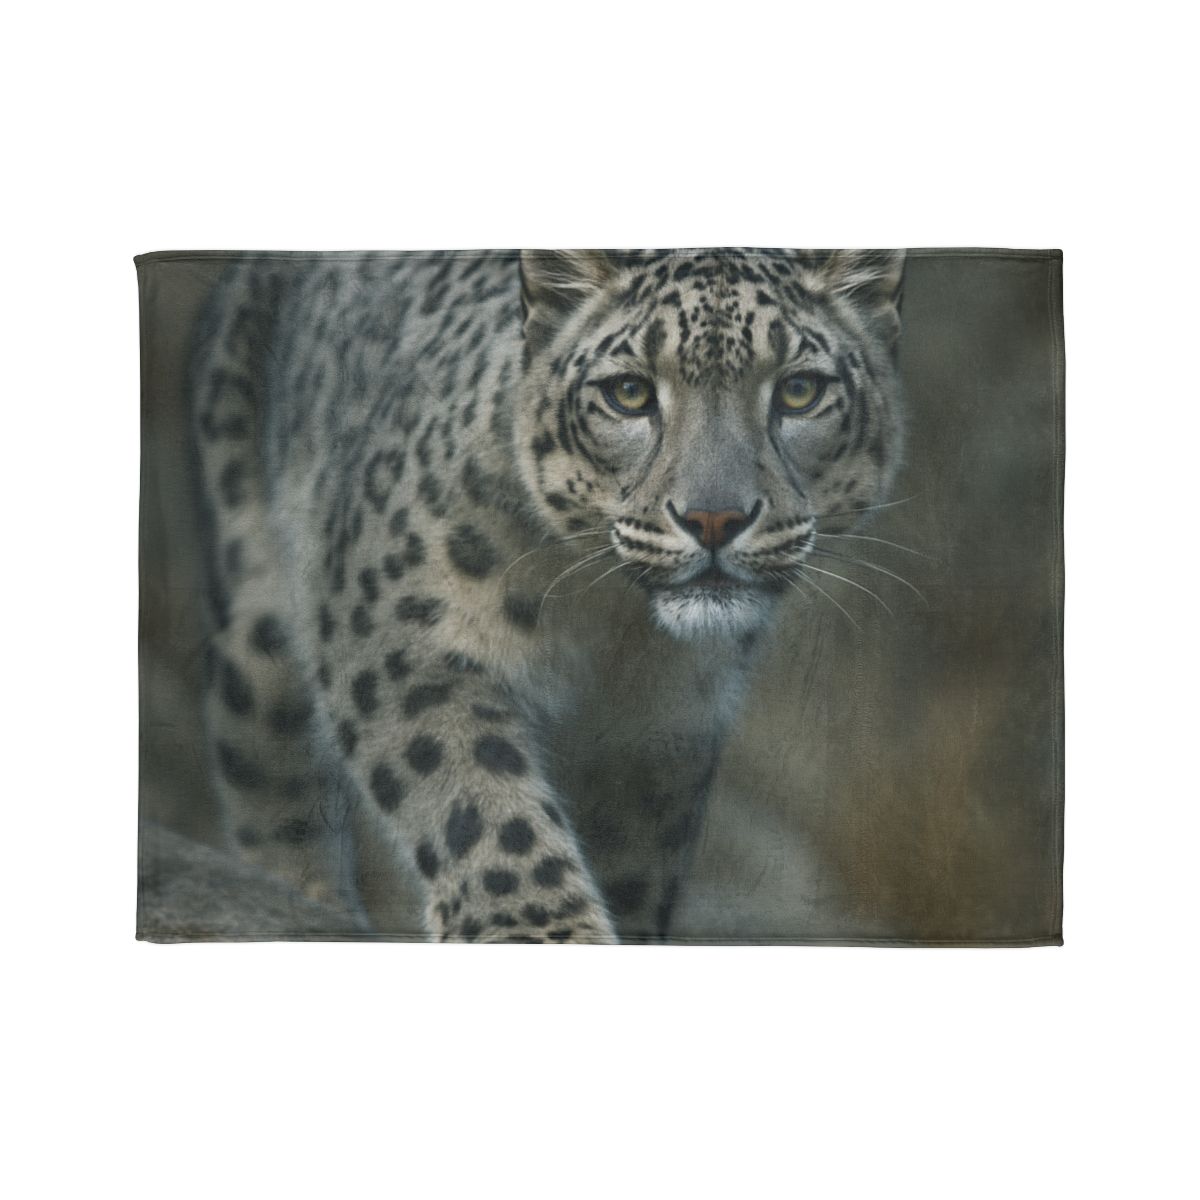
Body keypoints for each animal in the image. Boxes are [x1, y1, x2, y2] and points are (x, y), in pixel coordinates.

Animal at [193, 247, 905, 942]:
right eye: (628, 393)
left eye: (799, 390)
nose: (713, 518)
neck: (612, 625)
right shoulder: (402, 633)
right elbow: (473, 792)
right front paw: (536, 929)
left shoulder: (666, 729)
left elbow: (635, 858)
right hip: (258, 621)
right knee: (268, 772)